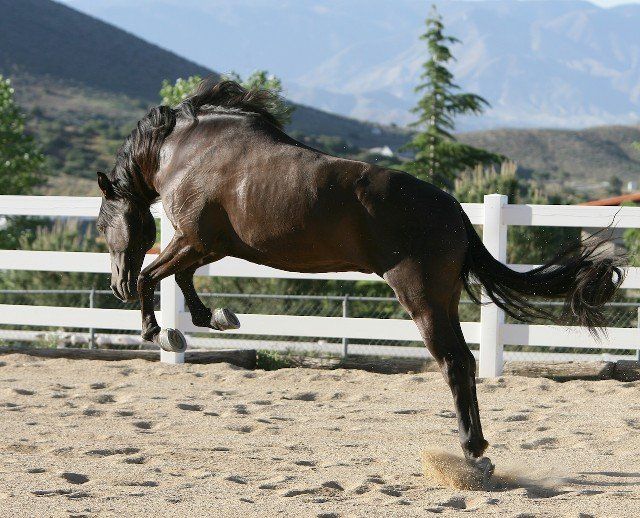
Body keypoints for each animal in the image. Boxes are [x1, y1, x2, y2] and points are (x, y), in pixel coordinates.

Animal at [96, 78, 623, 476]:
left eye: (103, 224)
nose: (114, 285)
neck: (189, 151)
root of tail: (454, 211)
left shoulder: (195, 239)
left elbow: (154, 276)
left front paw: (161, 333)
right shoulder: (205, 246)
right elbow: (181, 281)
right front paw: (214, 318)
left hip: (421, 299)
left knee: (454, 362)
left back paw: (473, 451)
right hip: (445, 299)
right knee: (466, 361)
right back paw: (478, 451)